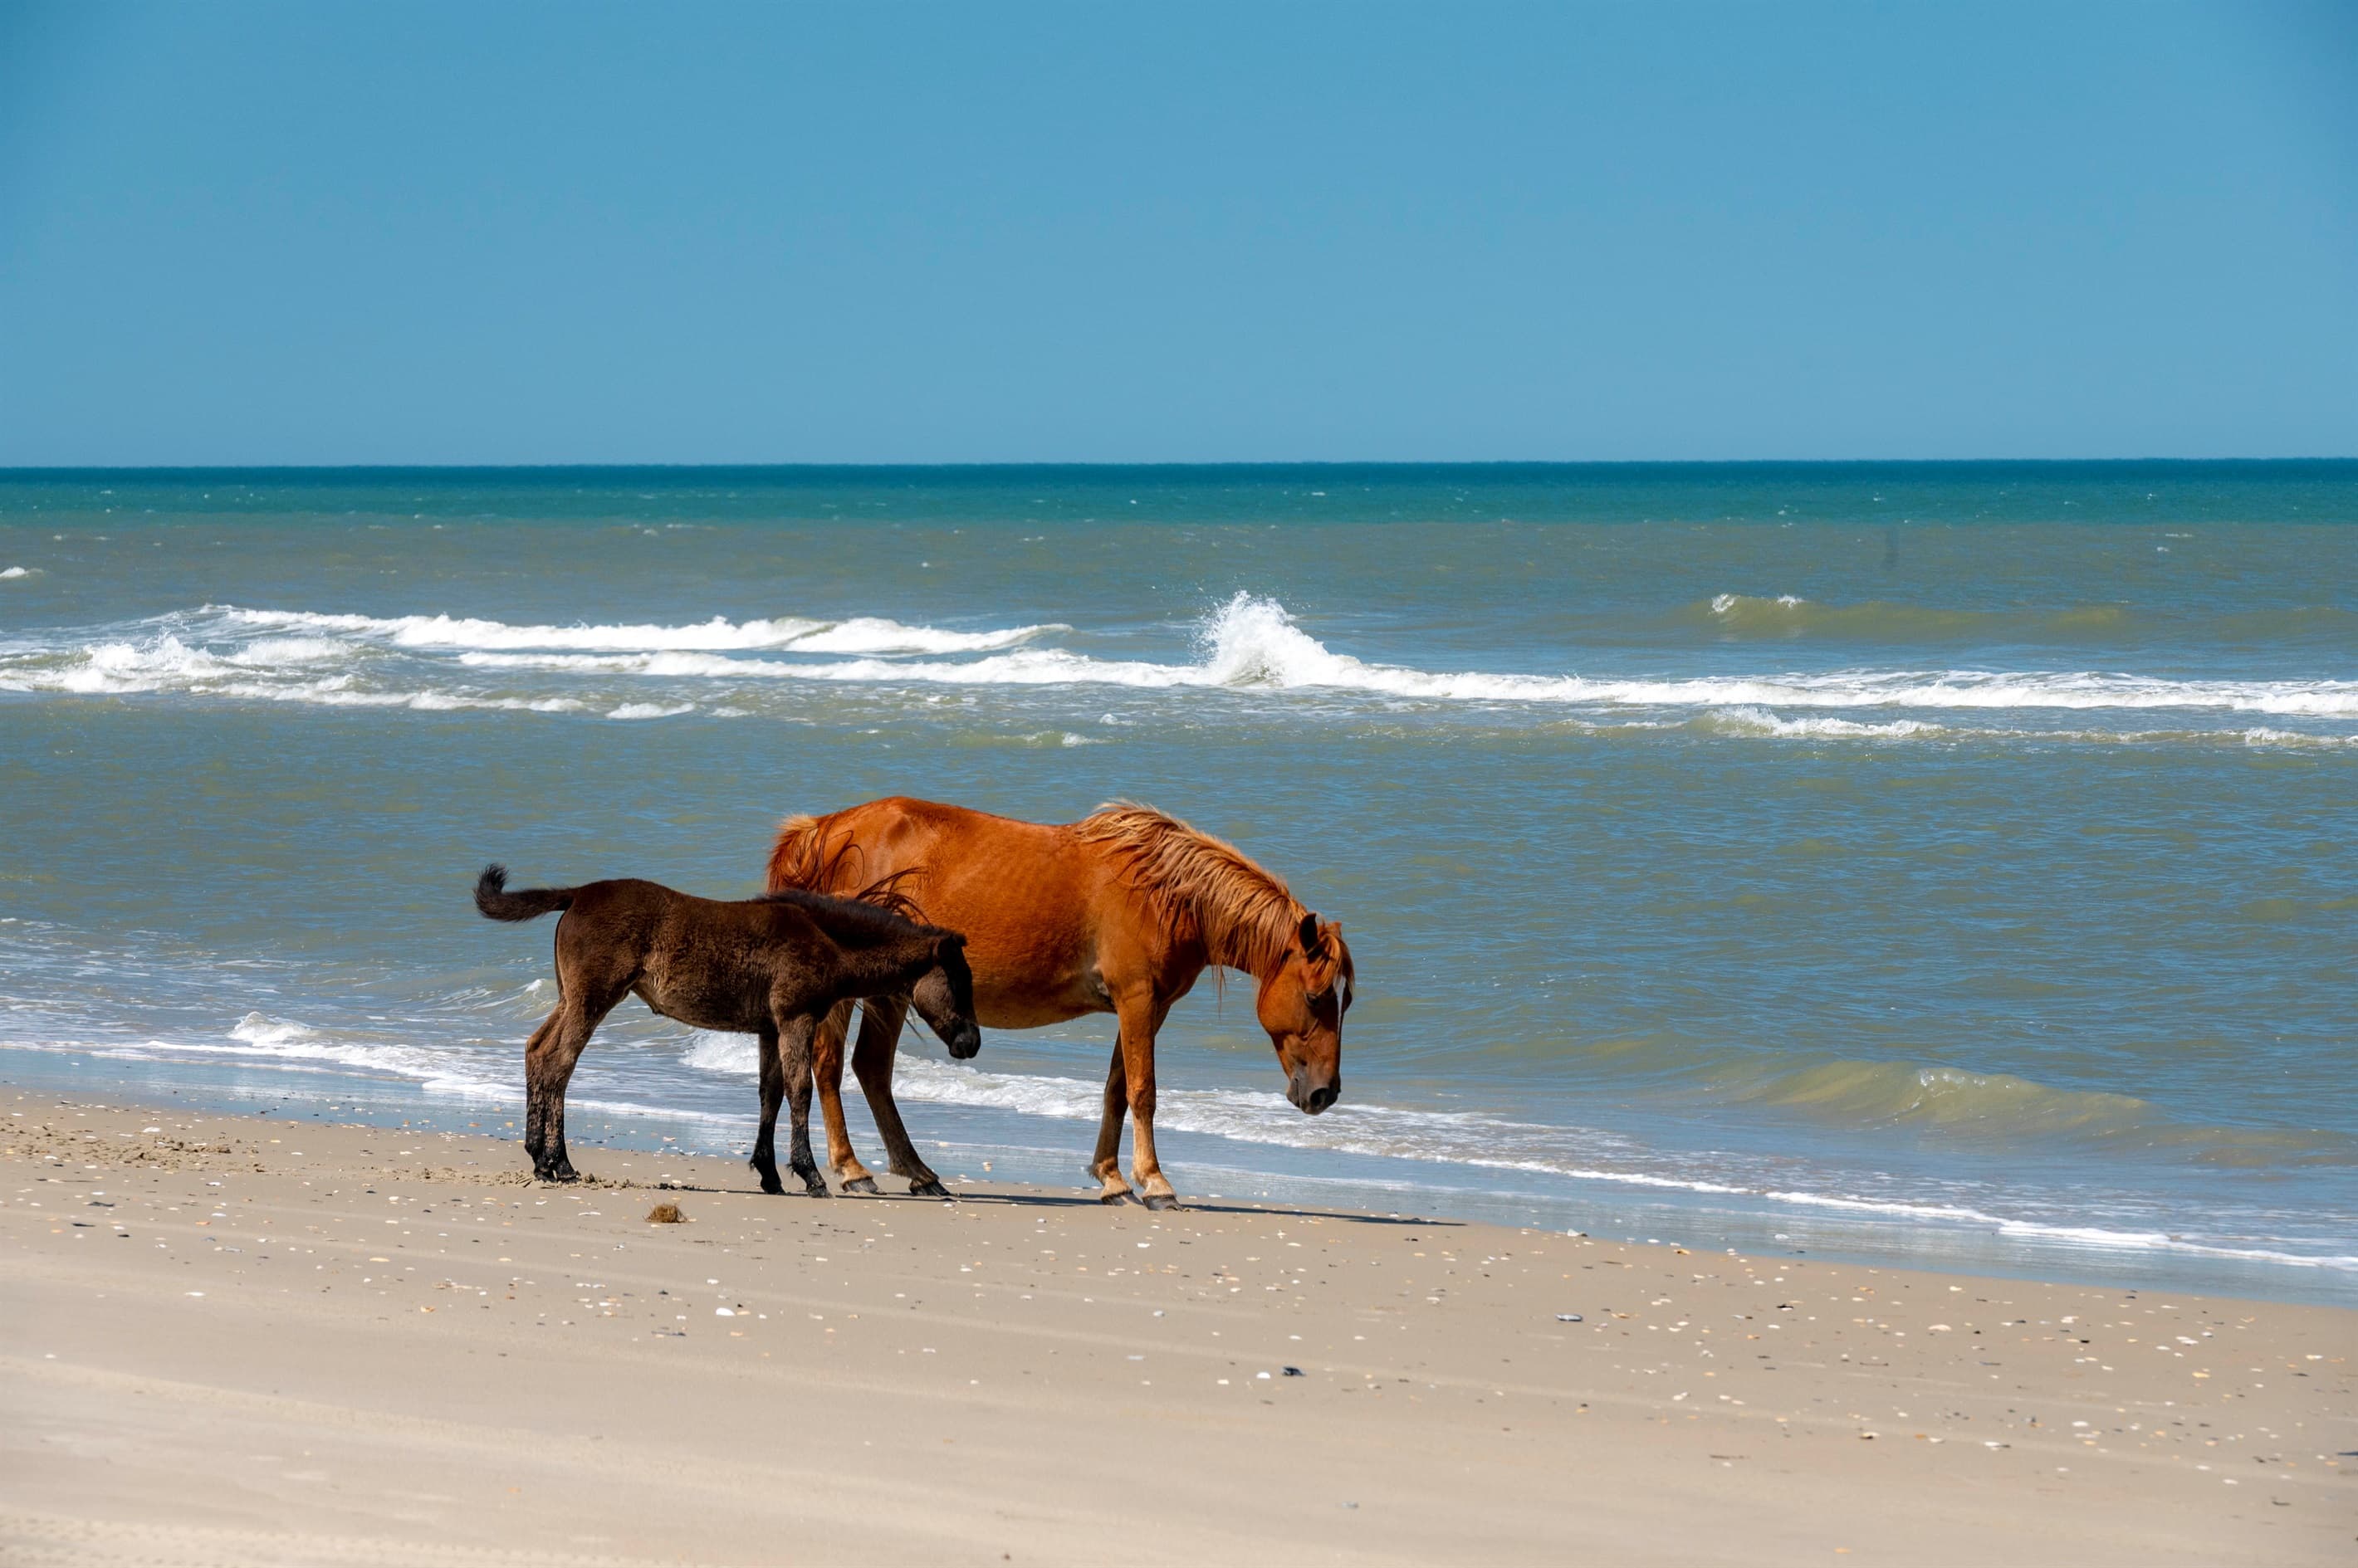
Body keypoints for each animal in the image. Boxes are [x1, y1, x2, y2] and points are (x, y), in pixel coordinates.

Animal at [472, 865, 980, 1195]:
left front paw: (770, 1175)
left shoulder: (770, 1029)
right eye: (959, 981)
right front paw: (811, 1176)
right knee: (558, 1063)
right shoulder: (795, 1019)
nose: (970, 1043)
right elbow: (799, 1091)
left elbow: (770, 1093)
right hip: (592, 999)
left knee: (537, 1051)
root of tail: (578, 894)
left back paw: (539, 1157)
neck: (823, 938)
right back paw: (559, 1164)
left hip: (570, 998)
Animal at [764, 798, 1353, 1210]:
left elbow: (1116, 1090)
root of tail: (823, 829)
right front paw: (1155, 1183)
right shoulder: (1138, 1000)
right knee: (832, 1064)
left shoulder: (1145, 1007)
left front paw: (1113, 1180)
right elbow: (1143, 1092)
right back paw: (852, 1169)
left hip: (893, 989)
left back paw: (918, 1173)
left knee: (870, 1069)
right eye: (1316, 996)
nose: (1323, 1093)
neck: (1163, 892)